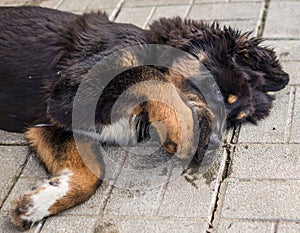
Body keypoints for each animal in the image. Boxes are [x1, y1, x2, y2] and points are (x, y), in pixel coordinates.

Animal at [0, 6, 288, 230]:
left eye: (233, 120)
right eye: (217, 92)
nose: (213, 146)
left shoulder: (53, 124)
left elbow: (93, 173)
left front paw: (38, 203)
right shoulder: (72, 87)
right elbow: (153, 76)